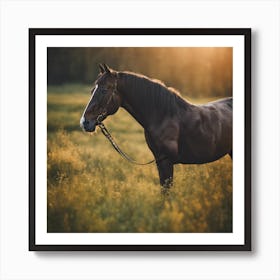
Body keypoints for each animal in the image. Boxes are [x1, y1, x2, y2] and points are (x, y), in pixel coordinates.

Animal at [80, 64, 233, 188]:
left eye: (104, 90)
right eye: (92, 90)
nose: (84, 122)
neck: (164, 116)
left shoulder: (166, 161)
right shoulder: (160, 162)